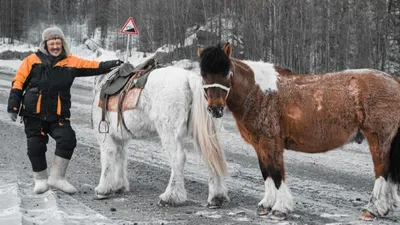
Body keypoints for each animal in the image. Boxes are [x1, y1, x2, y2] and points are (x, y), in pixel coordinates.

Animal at [91, 63, 228, 207]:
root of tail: (188, 77)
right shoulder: (120, 139)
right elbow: (120, 158)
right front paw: (119, 186)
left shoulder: (105, 137)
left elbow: (108, 159)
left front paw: (103, 188)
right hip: (202, 132)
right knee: (211, 156)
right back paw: (217, 196)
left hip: (168, 131)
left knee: (178, 158)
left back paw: (171, 196)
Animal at [198, 42, 400, 221]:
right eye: (203, 74)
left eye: (226, 72)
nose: (215, 109)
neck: (258, 91)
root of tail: (393, 81)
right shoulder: (259, 144)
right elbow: (266, 172)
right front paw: (266, 205)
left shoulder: (271, 142)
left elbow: (276, 173)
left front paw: (279, 209)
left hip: (378, 138)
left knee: (381, 171)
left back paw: (372, 210)